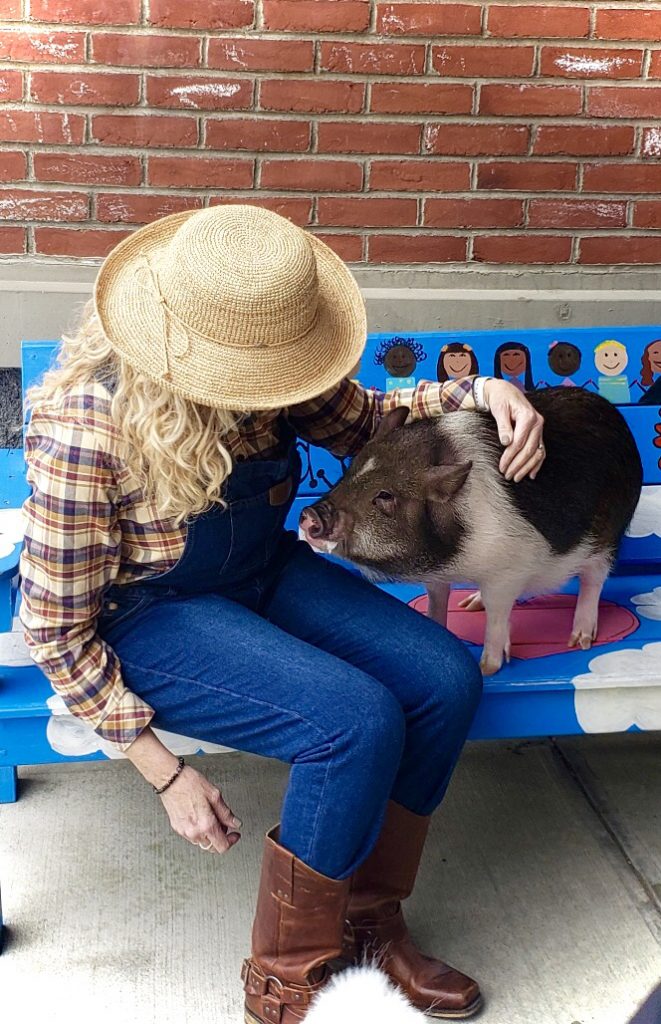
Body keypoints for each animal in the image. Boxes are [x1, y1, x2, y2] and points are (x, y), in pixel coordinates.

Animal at [298, 387, 642, 675]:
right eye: (351, 471)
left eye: (385, 496)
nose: (310, 514)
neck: (455, 555)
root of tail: (618, 420)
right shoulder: (441, 576)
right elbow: (438, 599)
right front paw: (440, 624)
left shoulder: (508, 571)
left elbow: (497, 615)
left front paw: (487, 668)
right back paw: (471, 604)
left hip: (607, 537)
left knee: (593, 579)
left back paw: (580, 640)